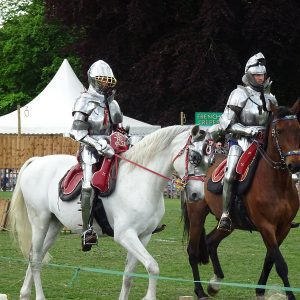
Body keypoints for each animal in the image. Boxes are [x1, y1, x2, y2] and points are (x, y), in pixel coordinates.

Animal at [7, 124, 209, 300]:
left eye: (211, 159)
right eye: (194, 157)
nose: (197, 194)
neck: (140, 182)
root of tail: (36, 161)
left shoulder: (143, 236)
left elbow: (128, 276)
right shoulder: (125, 235)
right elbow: (153, 266)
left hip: (54, 225)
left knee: (37, 255)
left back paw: (24, 294)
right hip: (39, 222)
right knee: (35, 259)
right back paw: (39, 296)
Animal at [182, 99, 300, 298]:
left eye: (298, 129)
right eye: (279, 131)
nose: (295, 164)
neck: (278, 184)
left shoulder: (283, 228)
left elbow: (270, 259)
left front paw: (260, 290)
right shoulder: (266, 226)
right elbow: (281, 264)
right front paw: (290, 295)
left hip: (230, 224)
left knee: (211, 242)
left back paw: (215, 283)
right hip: (197, 214)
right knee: (192, 251)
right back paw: (200, 291)